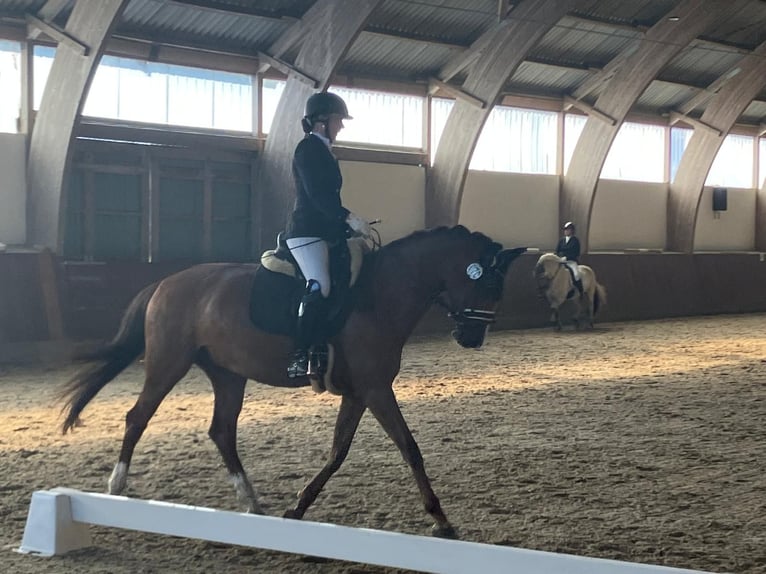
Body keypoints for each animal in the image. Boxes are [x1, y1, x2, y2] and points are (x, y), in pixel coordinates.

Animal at [58, 225, 526, 538]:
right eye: (487, 284)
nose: (472, 339)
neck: (380, 295)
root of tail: (165, 282)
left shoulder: (360, 392)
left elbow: (338, 453)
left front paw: (298, 507)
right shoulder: (376, 389)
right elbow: (409, 448)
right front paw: (442, 520)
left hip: (228, 374)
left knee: (221, 430)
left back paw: (252, 502)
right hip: (168, 363)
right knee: (138, 417)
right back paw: (117, 487)